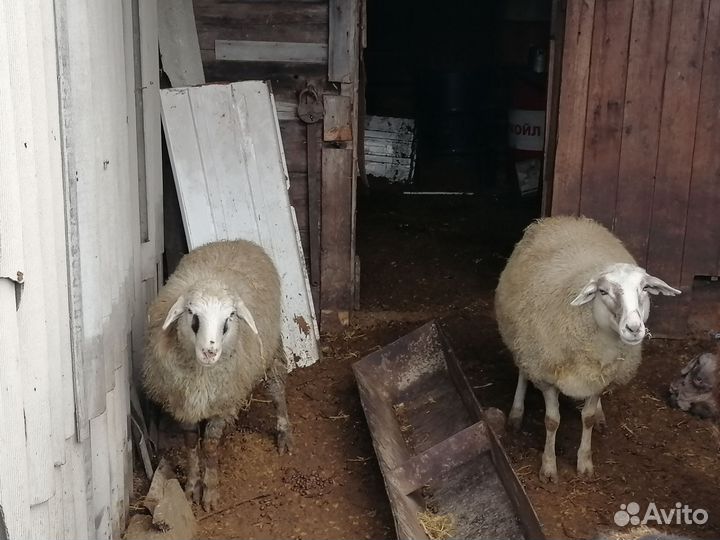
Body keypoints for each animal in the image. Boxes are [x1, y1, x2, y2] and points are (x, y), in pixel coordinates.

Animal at [142, 239, 293, 511]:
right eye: (191, 313)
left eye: (230, 316)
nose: (209, 351)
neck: (202, 375)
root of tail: (236, 240)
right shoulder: (183, 401)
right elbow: (191, 443)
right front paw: (192, 487)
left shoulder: (223, 400)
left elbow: (210, 446)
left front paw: (210, 492)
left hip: (270, 350)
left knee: (277, 389)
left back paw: (284, 432)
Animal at [494, 215, 681, 482]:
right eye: (602, 291)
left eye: (645, 289)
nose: (634, 328)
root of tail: (565, 218)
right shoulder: (546, 375)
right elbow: (552, 421)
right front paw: (548, 467)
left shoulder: (600, 377)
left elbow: (588, 418)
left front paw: (584, 462)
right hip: (523, 342)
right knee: (522, 370)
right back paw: (516, 412)